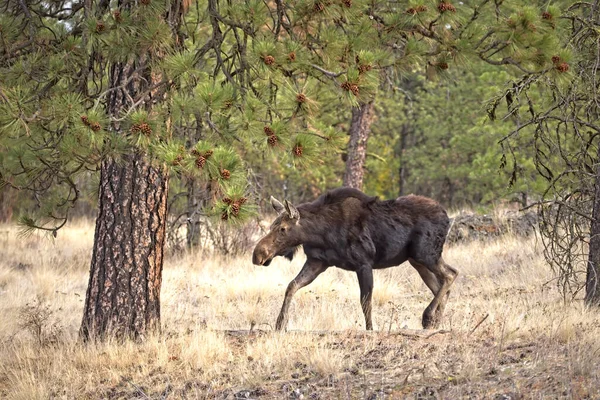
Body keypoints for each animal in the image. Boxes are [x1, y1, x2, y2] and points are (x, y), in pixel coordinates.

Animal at [251, 188, 458, 332]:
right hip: (417, 261)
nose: (258, 255)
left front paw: (370, 330)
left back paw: (428, 316)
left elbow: (365, 302)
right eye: (271, 226)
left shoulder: (364, 263)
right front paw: (280, 323)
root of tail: (447, 217)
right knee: (441, 286)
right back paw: (435, 322)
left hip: (426, 254)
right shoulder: (317, 261)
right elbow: (291, 286)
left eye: (283, 229)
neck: (319, 234)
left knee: (451, 274)